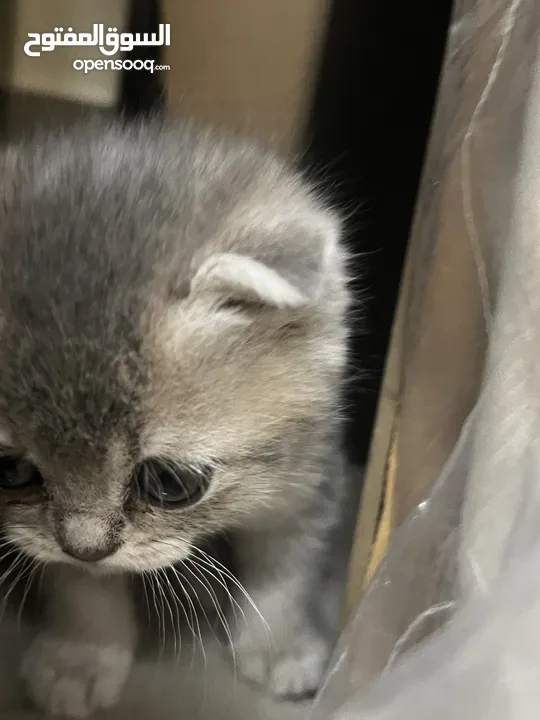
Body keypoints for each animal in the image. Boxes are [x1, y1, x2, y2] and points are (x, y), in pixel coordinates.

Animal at [0, 121, 350, 716]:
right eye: (10, 471)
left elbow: (286, 567)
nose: (86, 546)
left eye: (169, 482)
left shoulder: (307, 479)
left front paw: (277, 644)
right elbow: (82, 584)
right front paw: (83, 655)